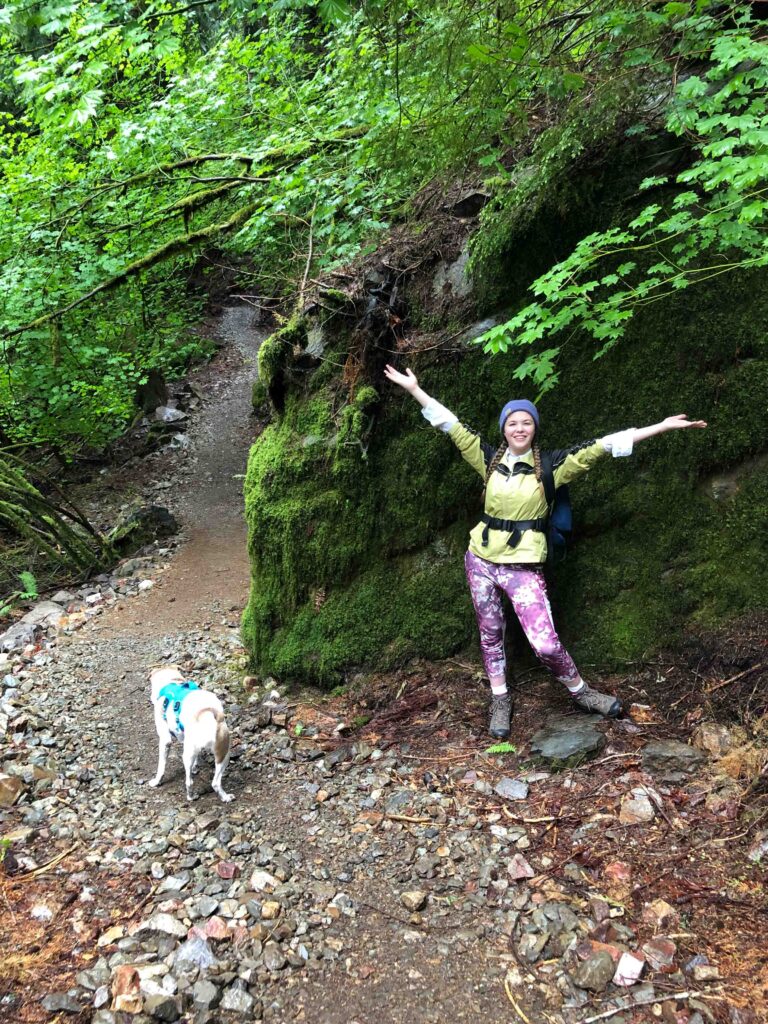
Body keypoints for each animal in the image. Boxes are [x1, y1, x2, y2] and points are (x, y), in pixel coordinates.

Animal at [148, 667, 234, 802]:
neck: (173, 682)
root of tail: (207, 715)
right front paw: (195, 767)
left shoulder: (165, 740)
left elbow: (161, 766)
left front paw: (156, 781)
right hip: (224, 754)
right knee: (215, 782)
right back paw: (225, 797)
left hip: (188, 754)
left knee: (189, 782)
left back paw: (191, 796)